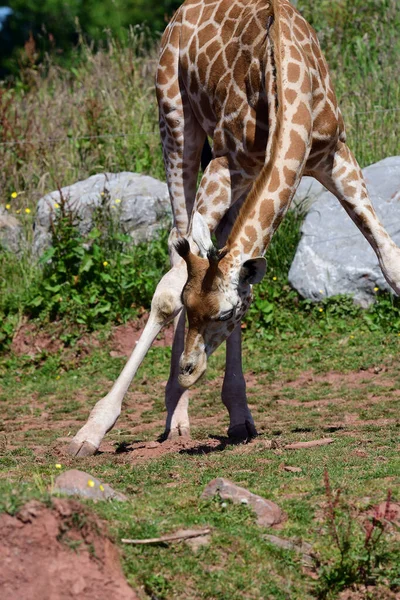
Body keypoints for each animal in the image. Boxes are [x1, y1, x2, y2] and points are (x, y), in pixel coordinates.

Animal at [67, 0, 400, 460]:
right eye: (190, 308)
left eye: (227, 313)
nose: (189, 371)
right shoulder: (225, 164)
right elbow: (169, 290)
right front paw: (91, 431)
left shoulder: (336, 158)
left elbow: (390, 262)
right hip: (175, 120)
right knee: (177, 244)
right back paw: (177, 417)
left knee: (220, 251)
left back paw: (235, 416)